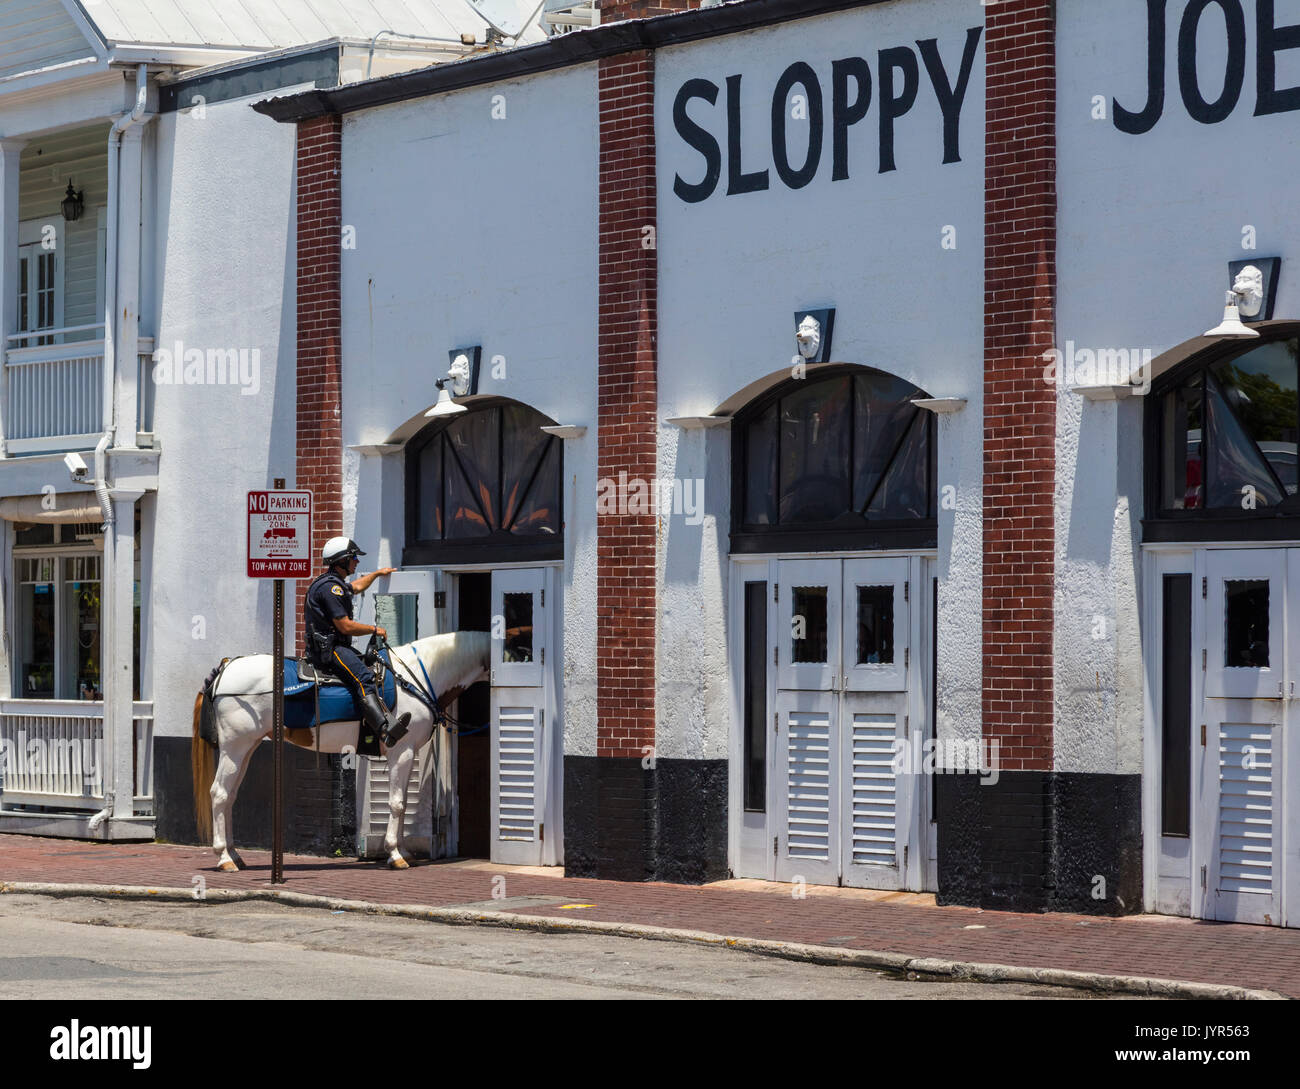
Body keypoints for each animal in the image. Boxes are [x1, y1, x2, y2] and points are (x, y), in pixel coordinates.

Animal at [193, 634, 491, 873]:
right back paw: (224, 858)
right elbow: (397, 803)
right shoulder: (402, 752)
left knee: (229, 796)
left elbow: (403, 802)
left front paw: (403, 851)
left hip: (246, 747)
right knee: (220, 794)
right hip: (235, 747)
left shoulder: (404, 755)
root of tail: (226, 668)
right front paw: (395, 855)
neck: (418, 675)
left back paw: (234, 855)